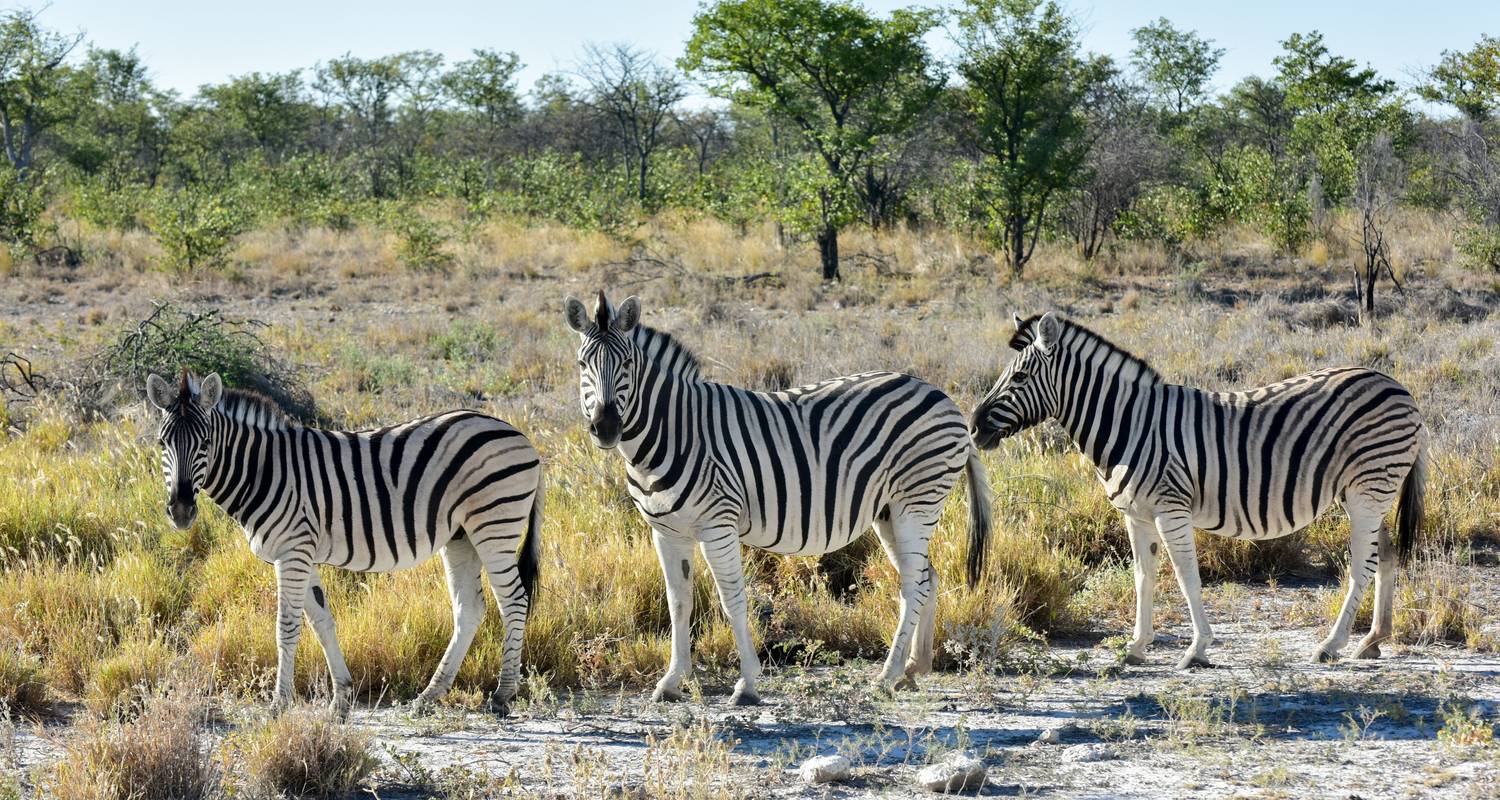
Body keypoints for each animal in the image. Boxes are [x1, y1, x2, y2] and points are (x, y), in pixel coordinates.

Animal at [146, 367, 543, 711]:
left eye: (205, 442)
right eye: (162, 442)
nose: (181, 510)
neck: (265, 471)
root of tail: (520, 436)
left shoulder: (293, 551)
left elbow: (286, 627)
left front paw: (279, 704)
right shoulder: (298, 554)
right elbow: (322, 623)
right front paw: (342, 697)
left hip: (494, 525)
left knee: (514, 601)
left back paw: (503, 695)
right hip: (461, 536)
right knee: (470, 608)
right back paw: (430, 695)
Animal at [567, 289, 990, 702]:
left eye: (627, 363)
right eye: (582, 364)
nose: (606, 427)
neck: (673, 432)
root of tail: (943, 397)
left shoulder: (717, 526)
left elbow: (731, 600)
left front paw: (747, 684)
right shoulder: (667, 532)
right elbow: (678, 602)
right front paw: (672, 680)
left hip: (916, 502)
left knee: (913, 584)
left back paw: (887, 676)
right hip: (888, 511)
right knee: (926, 579)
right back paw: (913, 669)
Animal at [966, 312, 1422, 666]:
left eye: (1019, 376)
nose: (973, 426)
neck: (1129, 425)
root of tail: (1398, 386)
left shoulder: (1172, 508)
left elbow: (1186, 574)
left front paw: (1197, 649)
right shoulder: (1136, 515)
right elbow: (1143, 576)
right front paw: (1136, 647)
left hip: (1369, 487)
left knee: (1363, 563)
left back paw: (1331, 645)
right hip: (1367, 492)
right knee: (1385, 555)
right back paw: (1373, 640)